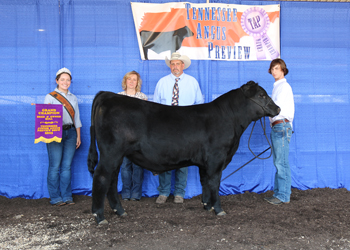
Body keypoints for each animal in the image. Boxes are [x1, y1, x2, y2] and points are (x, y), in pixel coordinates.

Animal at [88, 80, 282, 225]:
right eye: (261, 95)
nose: (278, 109)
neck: (230, 120)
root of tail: (108, 95)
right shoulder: (217, 157)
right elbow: (214, 182)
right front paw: (219, 210)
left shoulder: (206, 162)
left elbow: (205, 182)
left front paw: (207, 206)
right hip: (110, 153)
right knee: (102, 177)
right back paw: (100, 216)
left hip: (117, 155)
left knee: (112, 180)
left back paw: (120, 211)